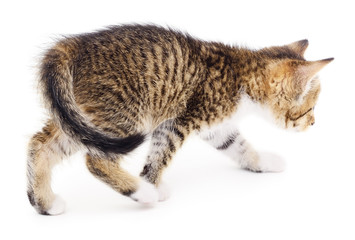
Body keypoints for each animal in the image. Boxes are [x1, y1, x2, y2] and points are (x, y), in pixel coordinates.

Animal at [27, 24, 334, 216]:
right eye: (309, 109)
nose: (314, 123)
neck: (241, 75)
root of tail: (72, 44)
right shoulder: (178, 120)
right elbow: (161, 153)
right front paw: (151, 184)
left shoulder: (216, 128)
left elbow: (238, 145)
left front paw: (263, 161)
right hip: (123, 115)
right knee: (96, 159)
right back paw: (140, 192)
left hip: (81, 117)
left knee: (41, 143)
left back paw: (44, 203)